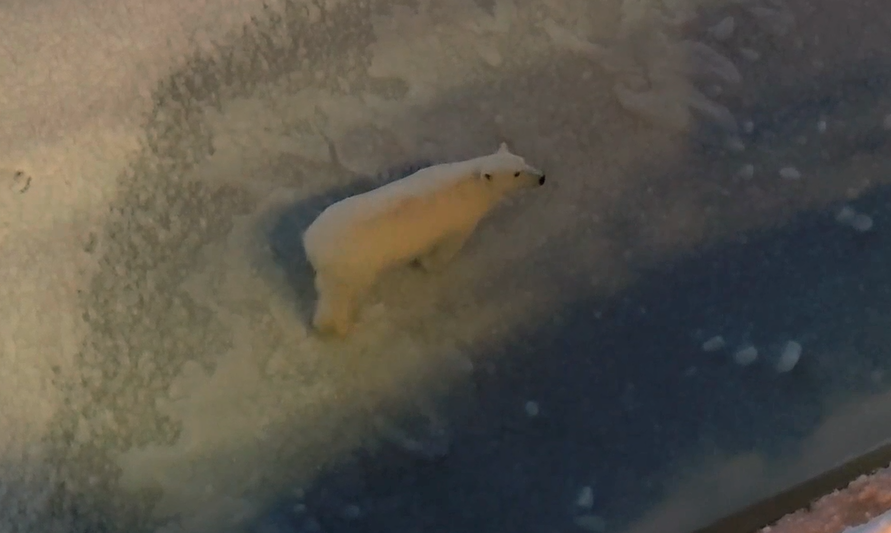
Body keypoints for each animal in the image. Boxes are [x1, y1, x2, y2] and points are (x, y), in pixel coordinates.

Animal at [301, 142, 547, 338]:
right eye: (516, 173)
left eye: (523, 161)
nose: (542, 178)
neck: (471, 183)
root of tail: (311, 242)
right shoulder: (461, 218)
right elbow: (447, 248)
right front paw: (431, 265)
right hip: (351, 266)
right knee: (337, 300)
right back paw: (341, 327)